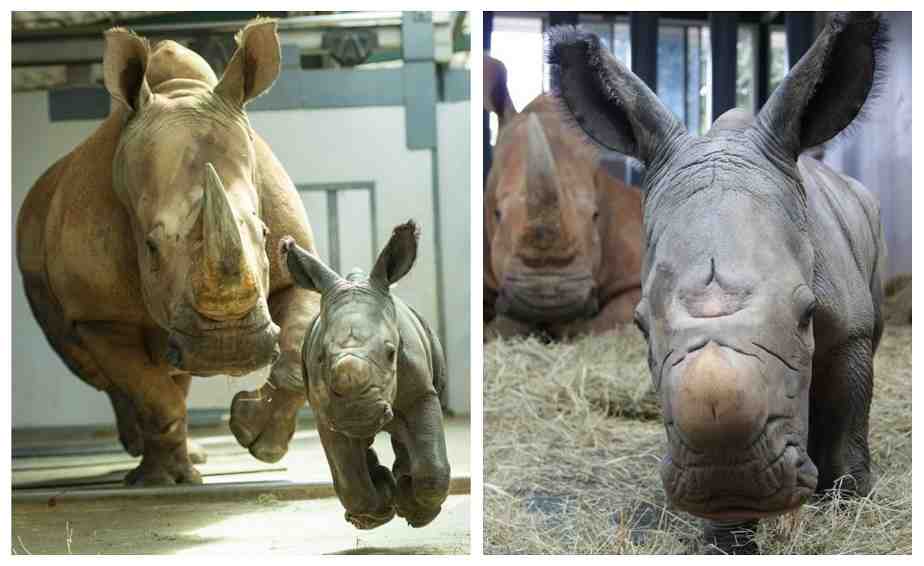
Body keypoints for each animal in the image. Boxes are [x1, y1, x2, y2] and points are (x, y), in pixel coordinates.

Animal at [17, 19, 320, 485]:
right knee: (103, 371)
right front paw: (164, 482)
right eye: (150, 246)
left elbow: (295, 339)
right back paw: (145, 454)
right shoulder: (98, 314)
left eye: (265, 230)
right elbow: (151, 393)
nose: (229, 348)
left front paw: (261, 440)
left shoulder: (291, 269)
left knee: (174, 370)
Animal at [278, 220, 450, 529]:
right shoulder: (324, 409)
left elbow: (432, 466)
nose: (358, 413)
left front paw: (417, 512)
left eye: (391, 353)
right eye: (320, 358)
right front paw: (373, 514)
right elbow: (350, 478)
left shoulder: (421, 392)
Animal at [549, 12, 887, 553]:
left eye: (808, 314)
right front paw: (727, 540)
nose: (732, 480)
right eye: (640, 326)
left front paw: (850, 507)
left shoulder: (850, 327)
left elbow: (848, 416)